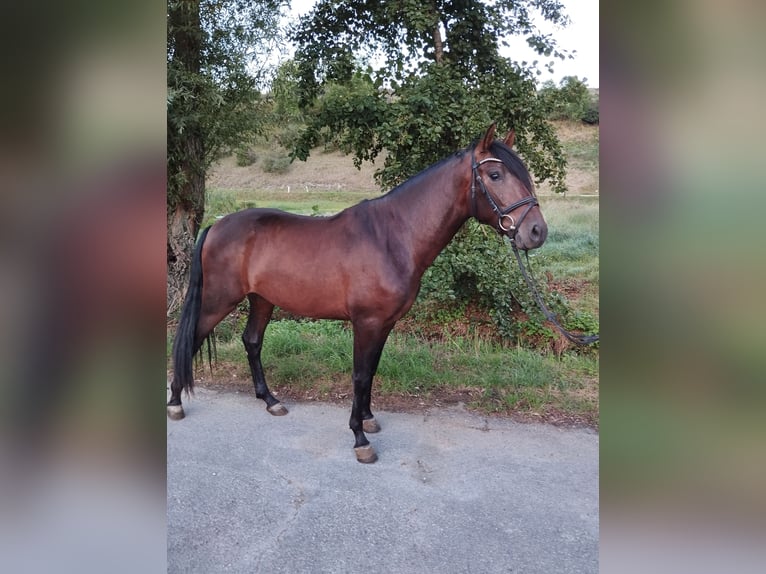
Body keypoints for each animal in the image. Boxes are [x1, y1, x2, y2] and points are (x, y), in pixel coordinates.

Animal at [170, 125, 548, 464]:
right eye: (495, 174)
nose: (536, 231)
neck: (392, 237)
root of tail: (217, 225)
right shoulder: (366, 322)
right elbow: (360, 374)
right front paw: (360, 439)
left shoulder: (384, 323)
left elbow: (372, 370)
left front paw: (367, 419)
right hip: (219, 300)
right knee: (190, 339)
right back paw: (175, 403)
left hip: (262, 299)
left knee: (251, 342)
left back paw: (270, 401)